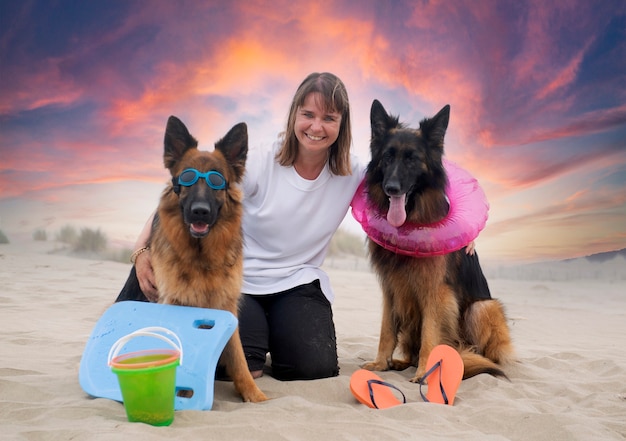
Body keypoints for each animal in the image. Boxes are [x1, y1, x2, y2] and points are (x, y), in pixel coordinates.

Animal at [116, 116, 266, 402]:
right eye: (187, 178)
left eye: (217, 181)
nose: (200, 212)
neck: (201, 257)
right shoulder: (174, 303)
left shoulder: (227, 306)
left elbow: (239, 357)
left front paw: (254, 395)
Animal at [360, 99, 512, 382]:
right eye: (388, 157)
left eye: (413, 159)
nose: (391, 188)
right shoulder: (390, 289)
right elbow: (386, 330)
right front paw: (381, 363)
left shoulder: (436, 293)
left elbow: (431, 332)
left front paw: (424, 372)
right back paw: (401, 362)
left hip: (484, 308)